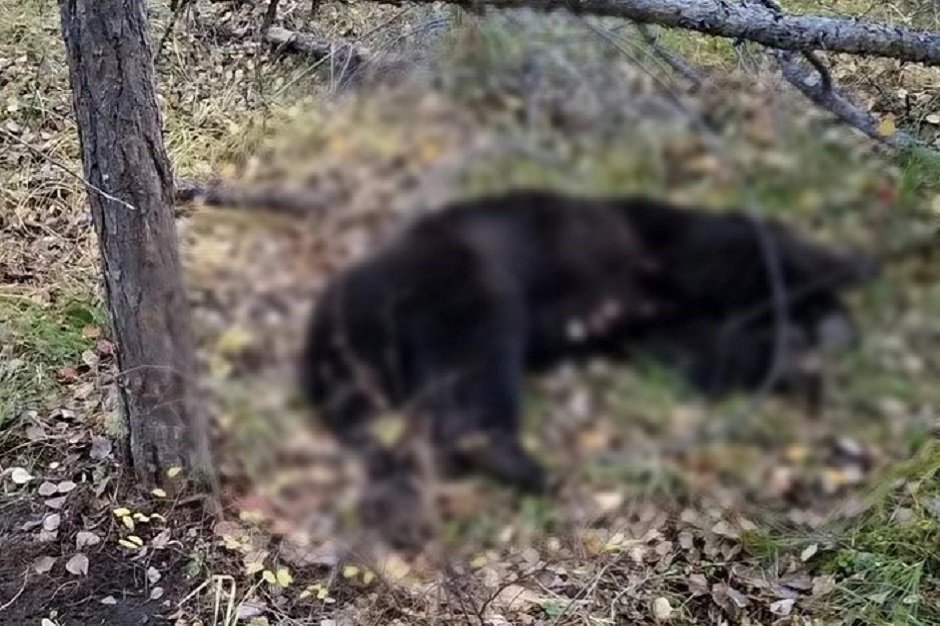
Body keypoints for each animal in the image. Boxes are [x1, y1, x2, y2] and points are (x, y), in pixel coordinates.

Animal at [299, 189, 877, 502]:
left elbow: (713, 354)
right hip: (460, 277)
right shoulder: (675, 249)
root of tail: (333, 309)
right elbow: (750, 258)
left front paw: (799, 366)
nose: (839, 330)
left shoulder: (659, 323)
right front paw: (843, 275)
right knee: (477, 359)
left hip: (365, 355)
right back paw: (516, 462)